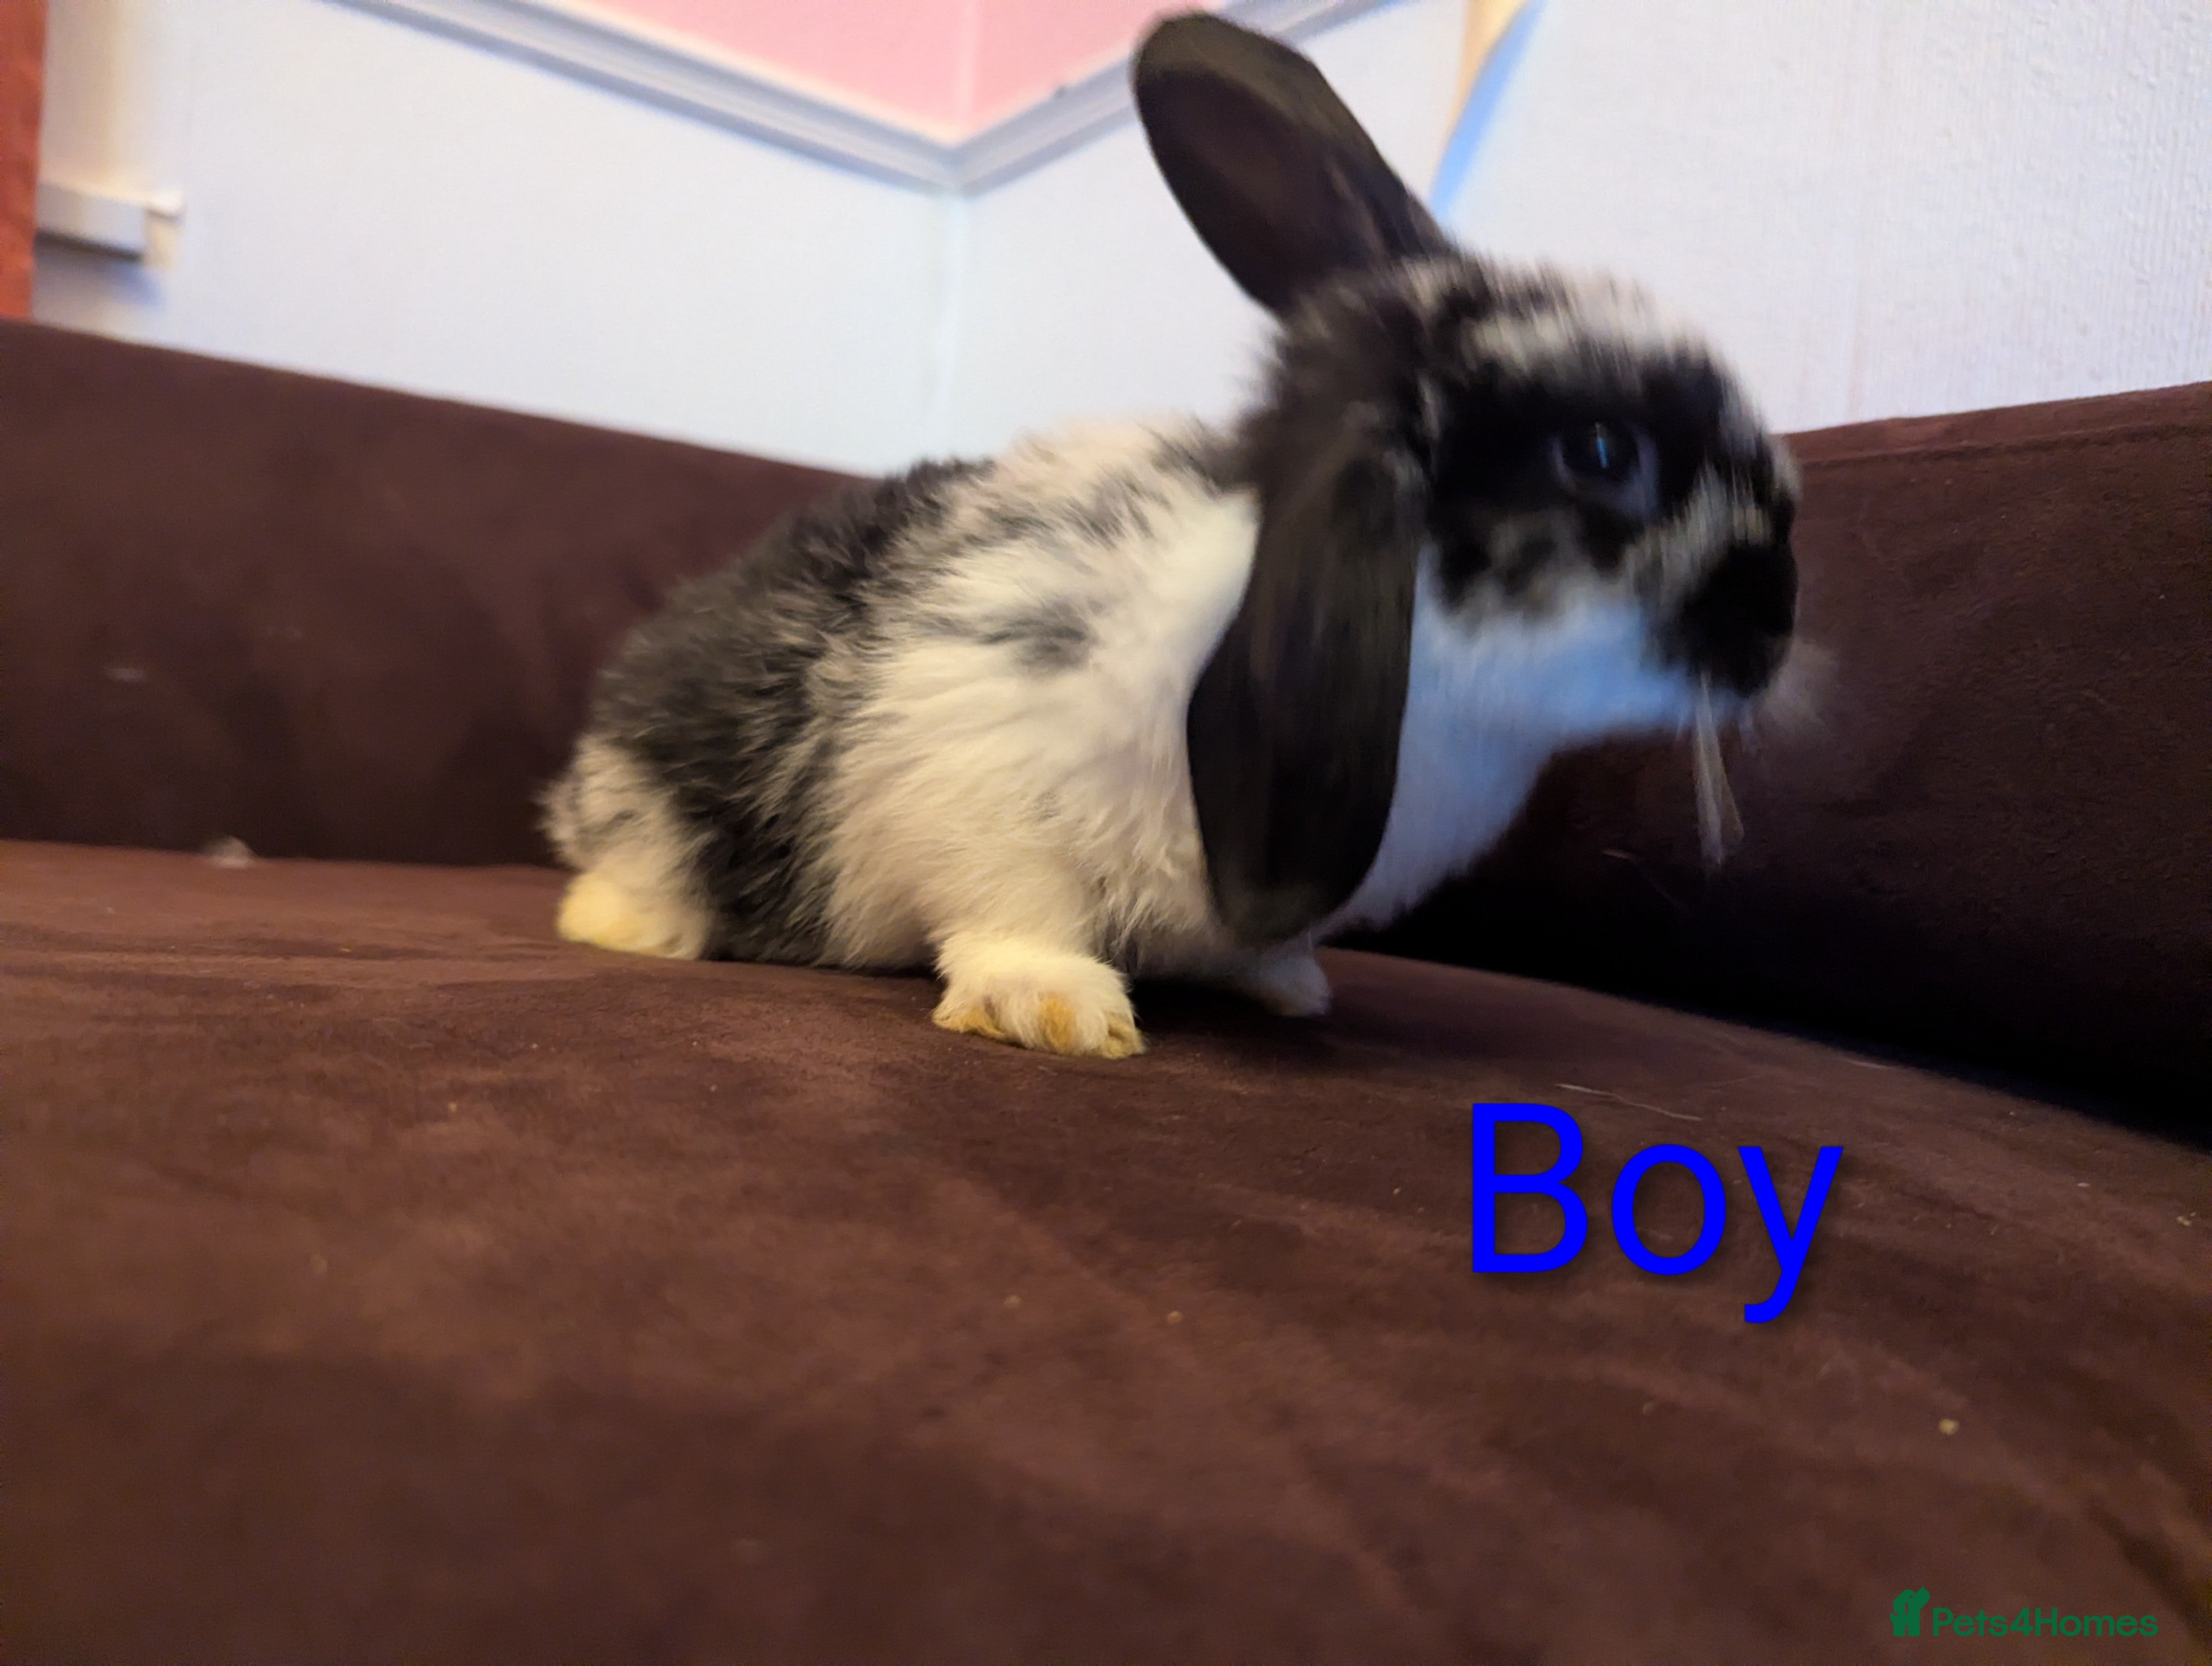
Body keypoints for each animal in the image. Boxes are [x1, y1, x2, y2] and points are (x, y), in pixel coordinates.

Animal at [542, 11, 1799, 1060]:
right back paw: (622, 925)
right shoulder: (979, 776)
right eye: (1602, 452)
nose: (1778, 625)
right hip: (657, 808)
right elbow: (1016, 911)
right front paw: (1055, 1012)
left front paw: (1288, 986)